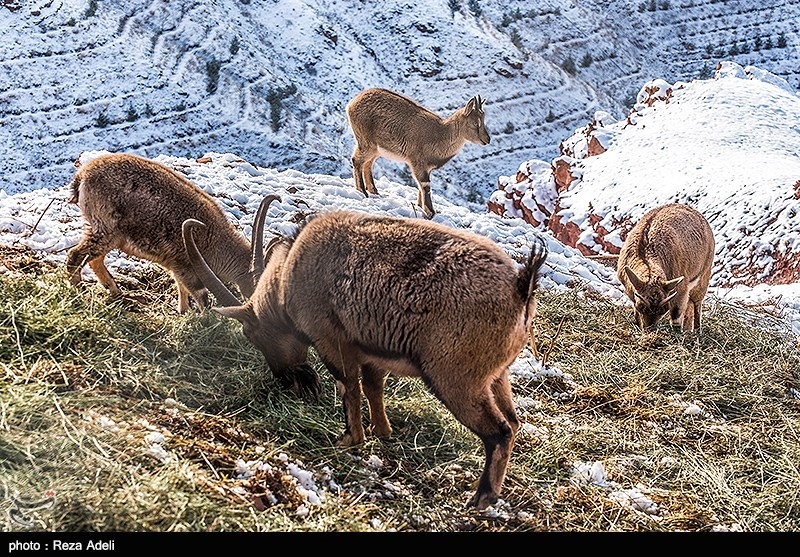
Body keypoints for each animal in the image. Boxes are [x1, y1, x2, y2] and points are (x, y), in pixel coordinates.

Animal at [63, 153, 268, 312]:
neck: (213, 238)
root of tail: (82, 176)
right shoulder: (185, 264)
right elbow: (199, 295)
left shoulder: (176, 266)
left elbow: (181, 288)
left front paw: (183, 311)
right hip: (105, 229)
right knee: (75, 255)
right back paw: (79, 292)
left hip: (110, 236)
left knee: (95, 260)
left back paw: (118, 293)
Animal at [185, 199, 552, 508]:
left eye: (253, 334)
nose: (286, 380)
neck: (290, 275)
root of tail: (521, 288)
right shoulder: (373, 354)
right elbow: (373, 387)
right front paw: (382, 431)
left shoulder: (330, 340)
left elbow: (349, 386)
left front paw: (349, 439)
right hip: (497, 376)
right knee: (514, 422)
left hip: (457, 378)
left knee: (499, 432)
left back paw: (481, 499)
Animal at [346, 86, 490, 217]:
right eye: (475, 123)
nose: (487, 139)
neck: (441, 134)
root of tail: (351, 104)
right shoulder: (418, 162)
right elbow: (425, 185)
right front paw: (430, 212)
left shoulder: (426, 167)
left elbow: (421, 186)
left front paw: (420, 206)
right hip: (366, 142)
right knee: (357, 160)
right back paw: (362, 191)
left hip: (375, 149)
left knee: (368, 164)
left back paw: (374, 191)